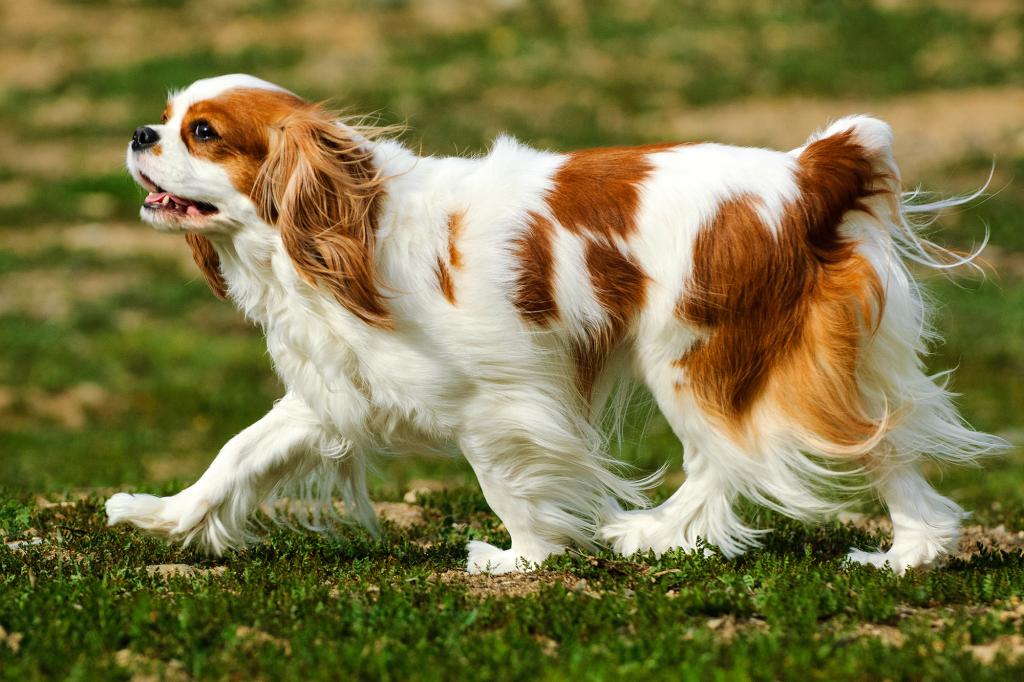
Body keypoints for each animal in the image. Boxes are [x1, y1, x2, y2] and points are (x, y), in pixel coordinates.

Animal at [108, 73, 1003, 573]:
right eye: (166, 116)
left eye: (203, 133)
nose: (140, 131)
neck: (347, 226)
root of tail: (808, 171)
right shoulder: (332, 395)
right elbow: (237, 455)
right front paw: (163, 515)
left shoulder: (499, 402)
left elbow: (506, 487)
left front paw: (520, 560)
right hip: (815, 355)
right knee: (874, 442)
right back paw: (912, 553)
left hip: (693, 350)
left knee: (725, 455)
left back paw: (658, 534)